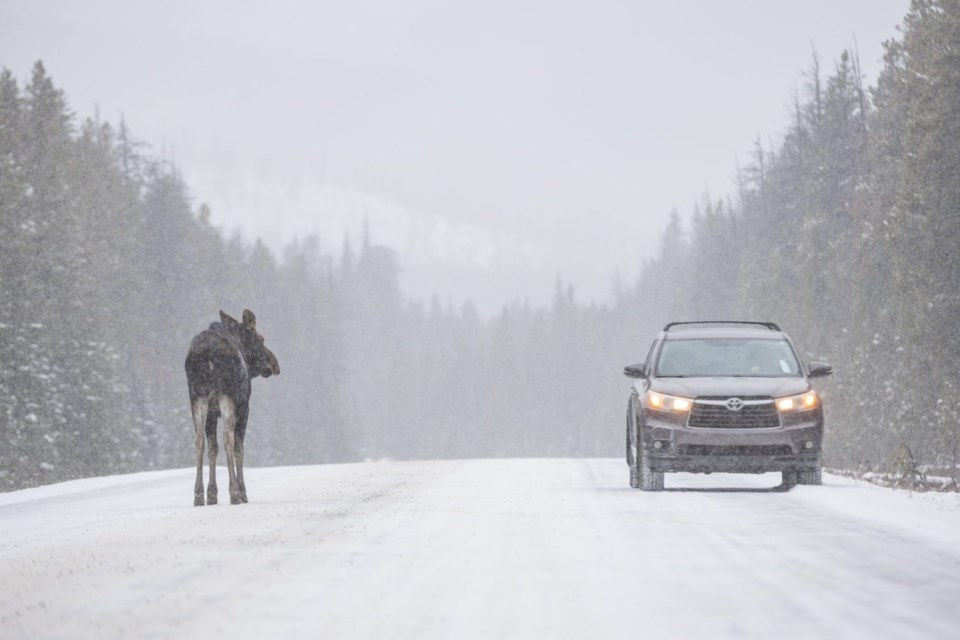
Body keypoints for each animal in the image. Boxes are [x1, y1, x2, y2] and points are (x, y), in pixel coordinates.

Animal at [186, 310, 280, 504]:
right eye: (261, 339)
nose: (275, 365)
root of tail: (209, 356)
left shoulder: (212, 412)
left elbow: (212, 448)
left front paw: (212, 494)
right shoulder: (244, 407)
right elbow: (239, 448)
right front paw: (242, 492)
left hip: (198, 399)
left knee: (199, 440)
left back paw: (198, 495)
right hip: (227, 399)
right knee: (228, 438)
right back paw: (235, 492)